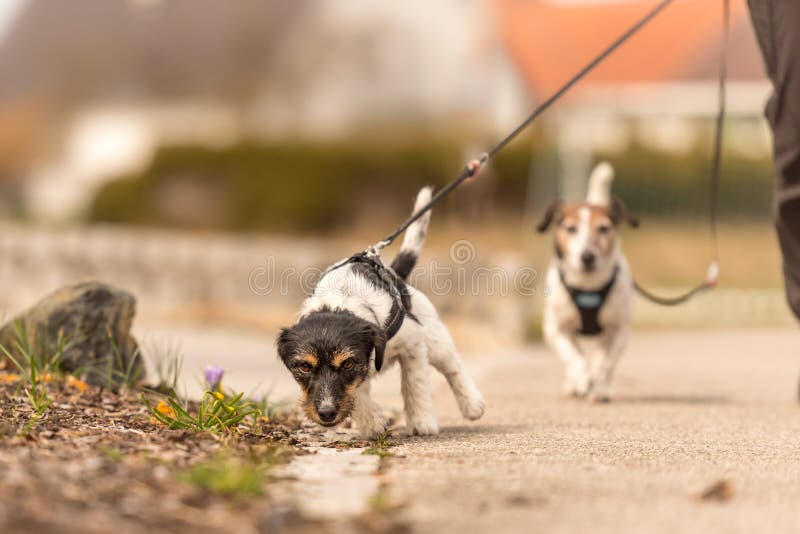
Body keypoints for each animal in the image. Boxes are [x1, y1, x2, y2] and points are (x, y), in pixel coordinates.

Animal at [278, 191, 484, 438]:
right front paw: (372, 421)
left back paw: (472, 403)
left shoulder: (413, 343)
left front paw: (421, 420)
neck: (338, 303)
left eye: (347, 364)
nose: (326, 413)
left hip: (435, 340)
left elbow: (414, 383)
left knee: (453, 366)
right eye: (304, 367)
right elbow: (358, 390)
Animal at [536, 163, 640, 402]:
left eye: (604, 228)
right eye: (571, 228)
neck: (588, 286)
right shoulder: (556, 330)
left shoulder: (619, 332)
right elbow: (575, 358)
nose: (587, 256)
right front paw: (582, 380)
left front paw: (598, 387)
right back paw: (573, 384)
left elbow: (604, 364)